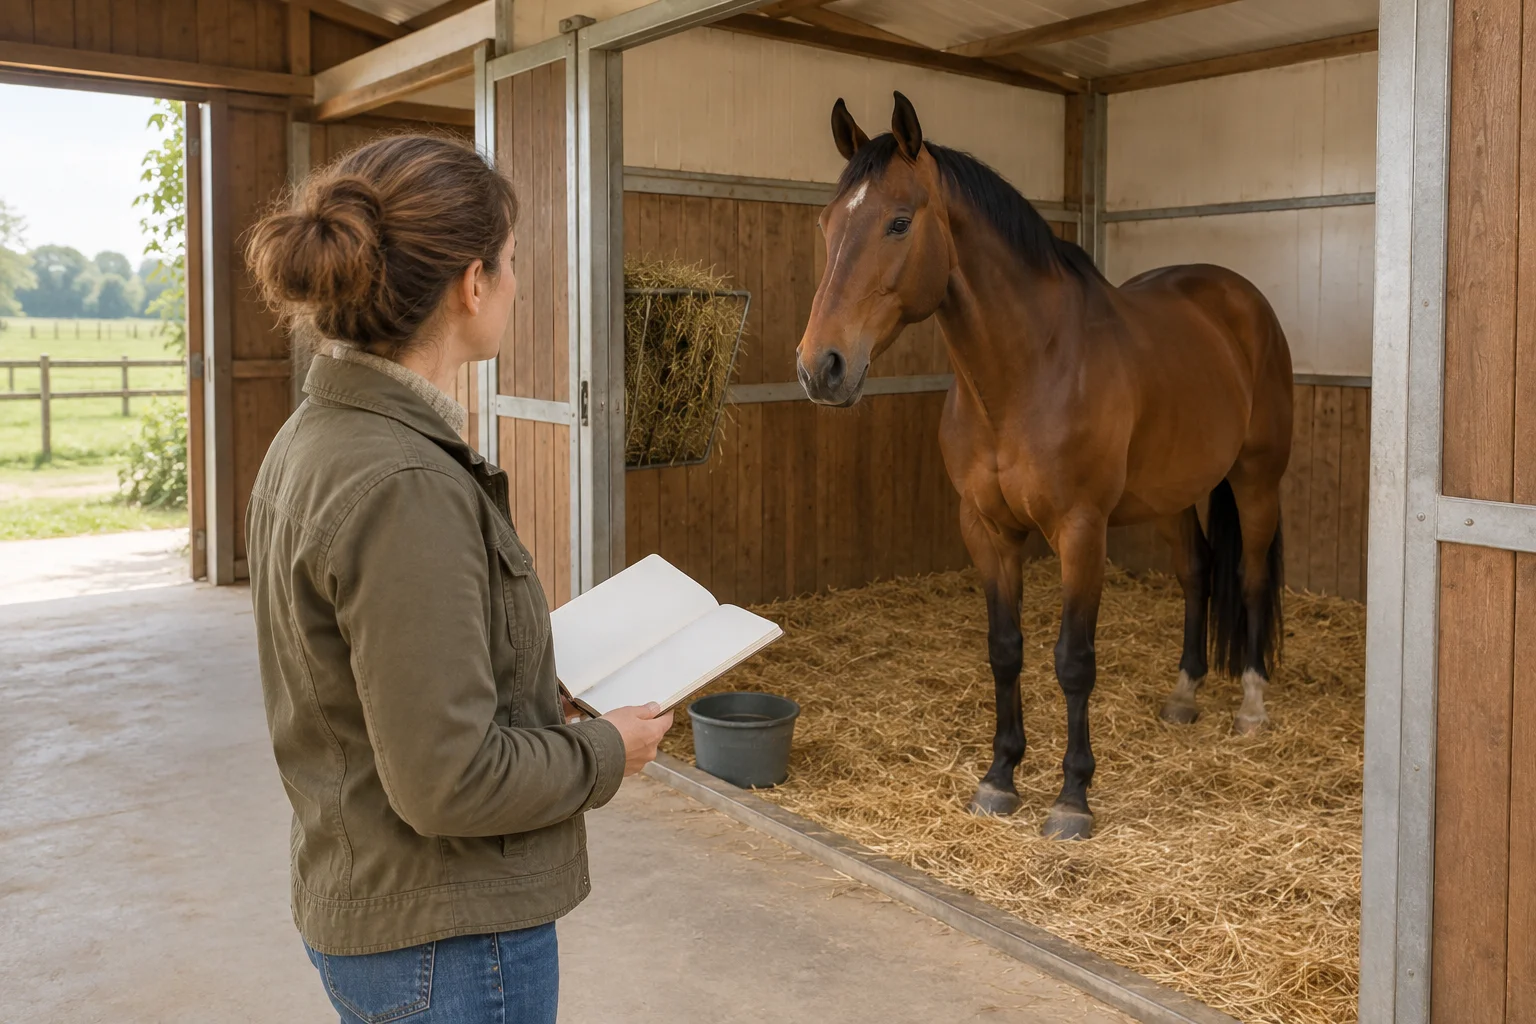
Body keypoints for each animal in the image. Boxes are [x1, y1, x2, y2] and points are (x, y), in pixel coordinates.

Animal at [796, 93, 1292, 840]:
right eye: (828, 224)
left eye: (899, 221)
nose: (820, 367)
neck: (1029, 370)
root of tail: (1240, 298)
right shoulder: (987, 530)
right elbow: (1006, 649)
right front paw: (1000, 777)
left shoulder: (1081, 532)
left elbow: (1072, 661)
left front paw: (1071, 798)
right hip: (1175, 492)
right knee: (1199, 572)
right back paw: (1184, 694)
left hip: (1257, 479)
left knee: (1253, 578)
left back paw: (1252, 708)